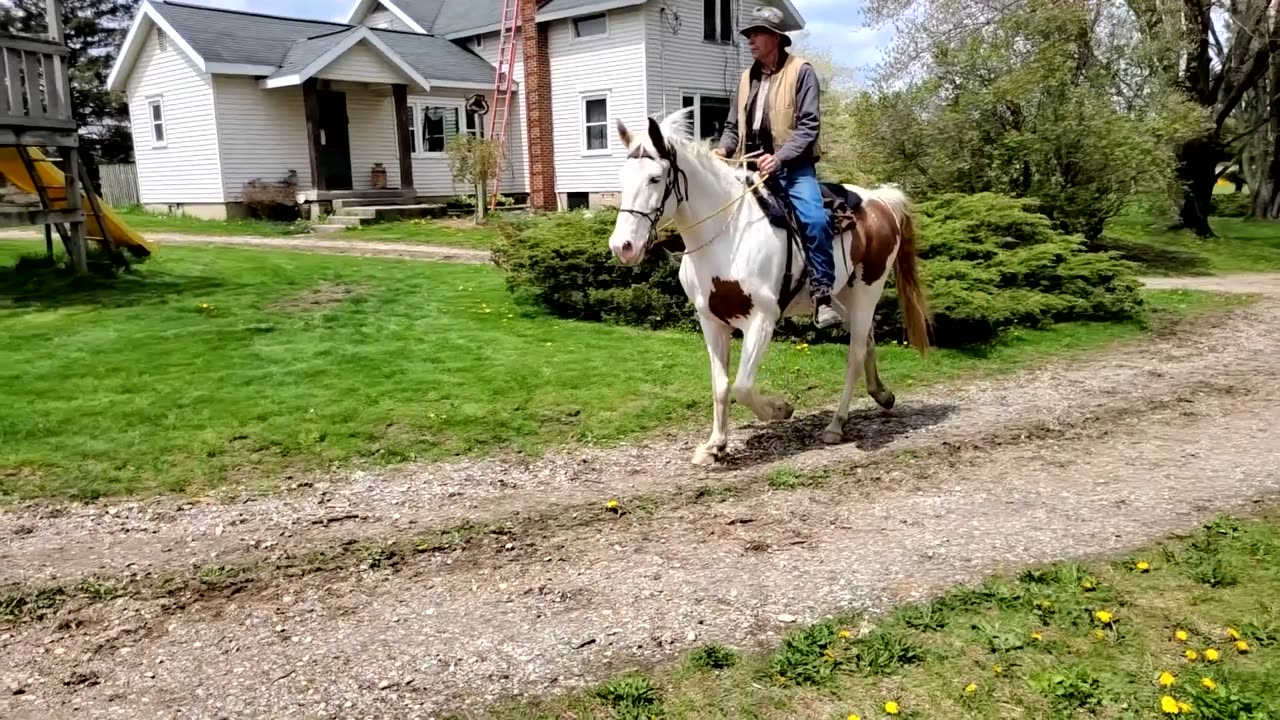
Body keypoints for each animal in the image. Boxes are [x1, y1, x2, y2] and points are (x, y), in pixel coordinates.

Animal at [607, 107, 930, 466]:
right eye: (621, 178)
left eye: (655, 178)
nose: (622, 247)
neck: (727, 234)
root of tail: (882, 201)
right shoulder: (711, 321)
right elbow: (721, 385)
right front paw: (715, 444)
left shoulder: (761, 320)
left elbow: (743, 386)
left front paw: (780, 409)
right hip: (844, 297)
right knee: (868, 341)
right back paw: (882, 395)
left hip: (867, 291)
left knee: (855, 353)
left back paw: (836, 424)